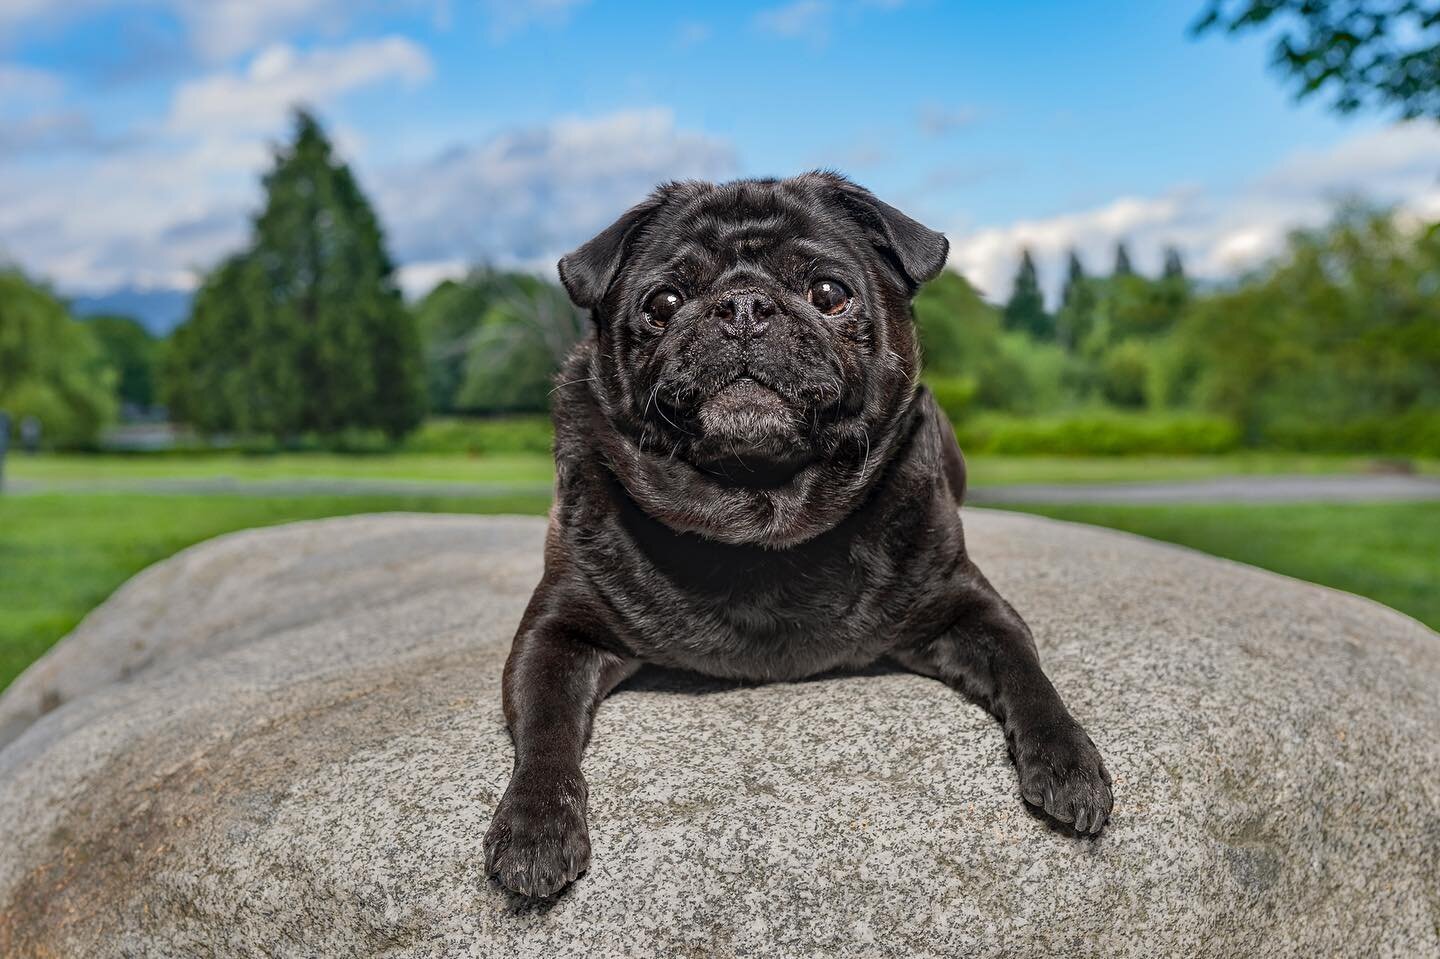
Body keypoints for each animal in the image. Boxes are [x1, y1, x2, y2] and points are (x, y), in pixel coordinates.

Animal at [483, 172, 1111, 898]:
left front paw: (1068, 761)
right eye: (665, 303)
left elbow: (1026, 672)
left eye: (829, 294)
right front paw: (534, 824)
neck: (761, 518)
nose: (743, 306)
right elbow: (545, 729)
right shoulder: (556, 630)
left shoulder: (966, 604)